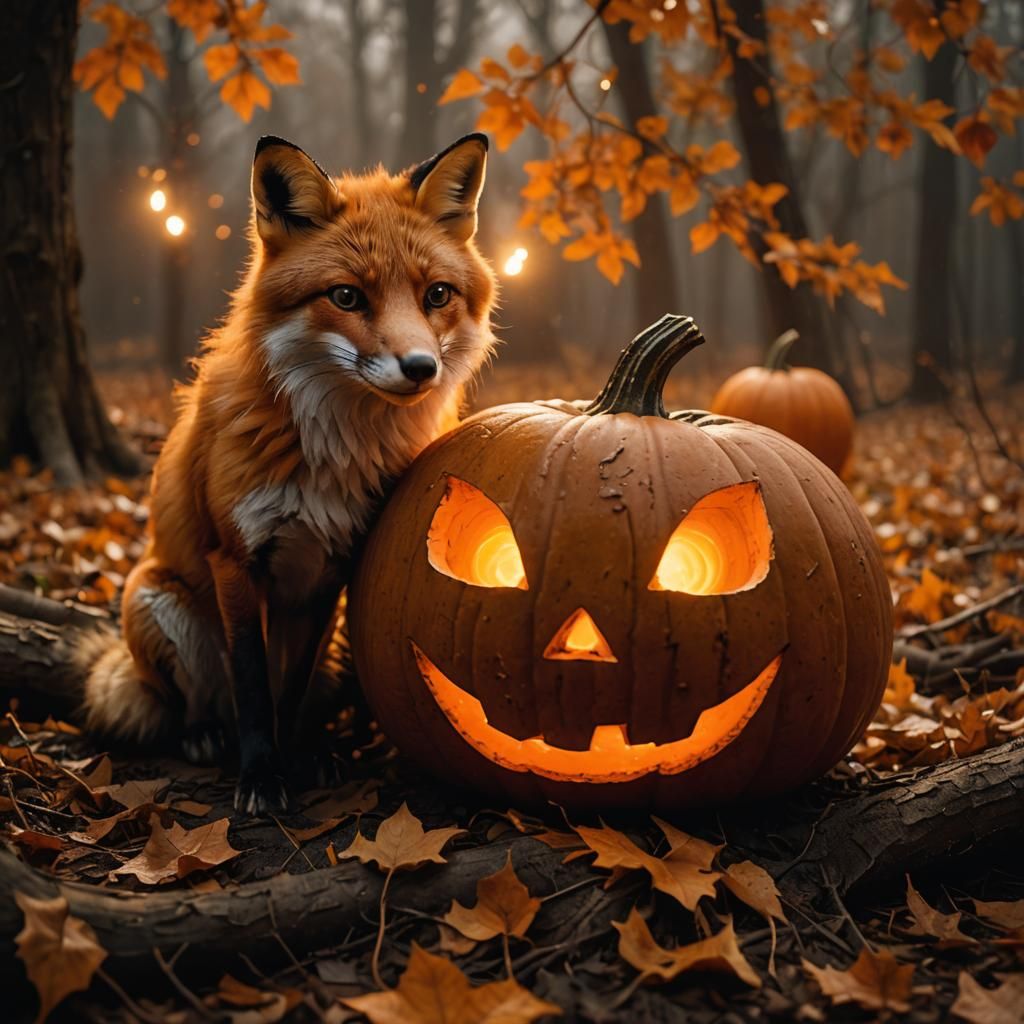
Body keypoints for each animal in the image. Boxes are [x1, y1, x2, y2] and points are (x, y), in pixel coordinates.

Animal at [79, 132, 497, 814]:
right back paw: (202, 735)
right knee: (187, 700)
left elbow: (291, 688)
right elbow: (253, 687)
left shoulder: (334, 566)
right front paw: (260, 775)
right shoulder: (235, 559)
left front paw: (299, 756)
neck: (334, 453)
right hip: (154, 600)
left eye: (436, 294)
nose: (420, 368)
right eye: (347, 296)